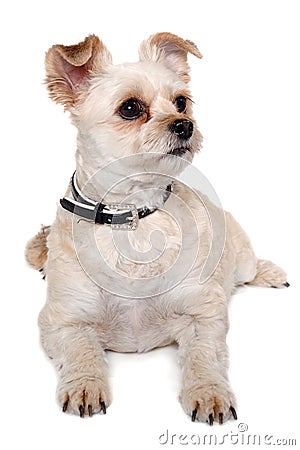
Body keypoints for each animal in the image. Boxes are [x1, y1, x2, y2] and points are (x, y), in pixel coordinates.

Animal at [25, 33, 288, 424]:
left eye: (181, 102)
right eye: (131, 108)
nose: (184, 124)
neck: (133, 216)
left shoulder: (203, 314)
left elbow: (204, 357)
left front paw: (208, 392)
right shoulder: (62, 321)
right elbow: (80, 350)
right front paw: (86, 384)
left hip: (240, 259)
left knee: (251, 266)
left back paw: (270, 272)